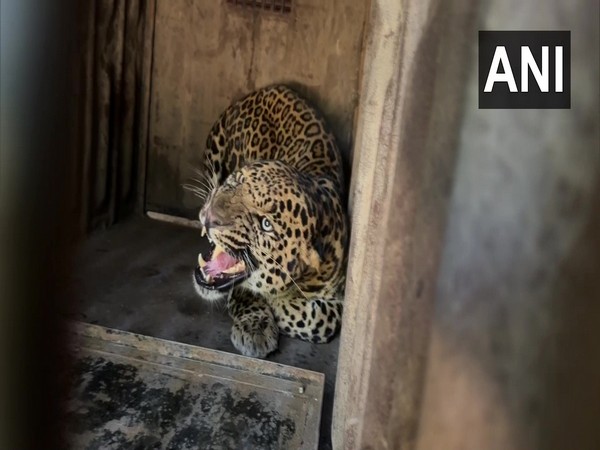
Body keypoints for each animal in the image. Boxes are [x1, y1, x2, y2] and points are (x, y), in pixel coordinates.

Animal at [190, 85, 344, 358]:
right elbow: (248, 293)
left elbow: (317, 320)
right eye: (235, 181)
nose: (209, 218)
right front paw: (256, 329)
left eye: (266, 224)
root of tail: (271, 88)